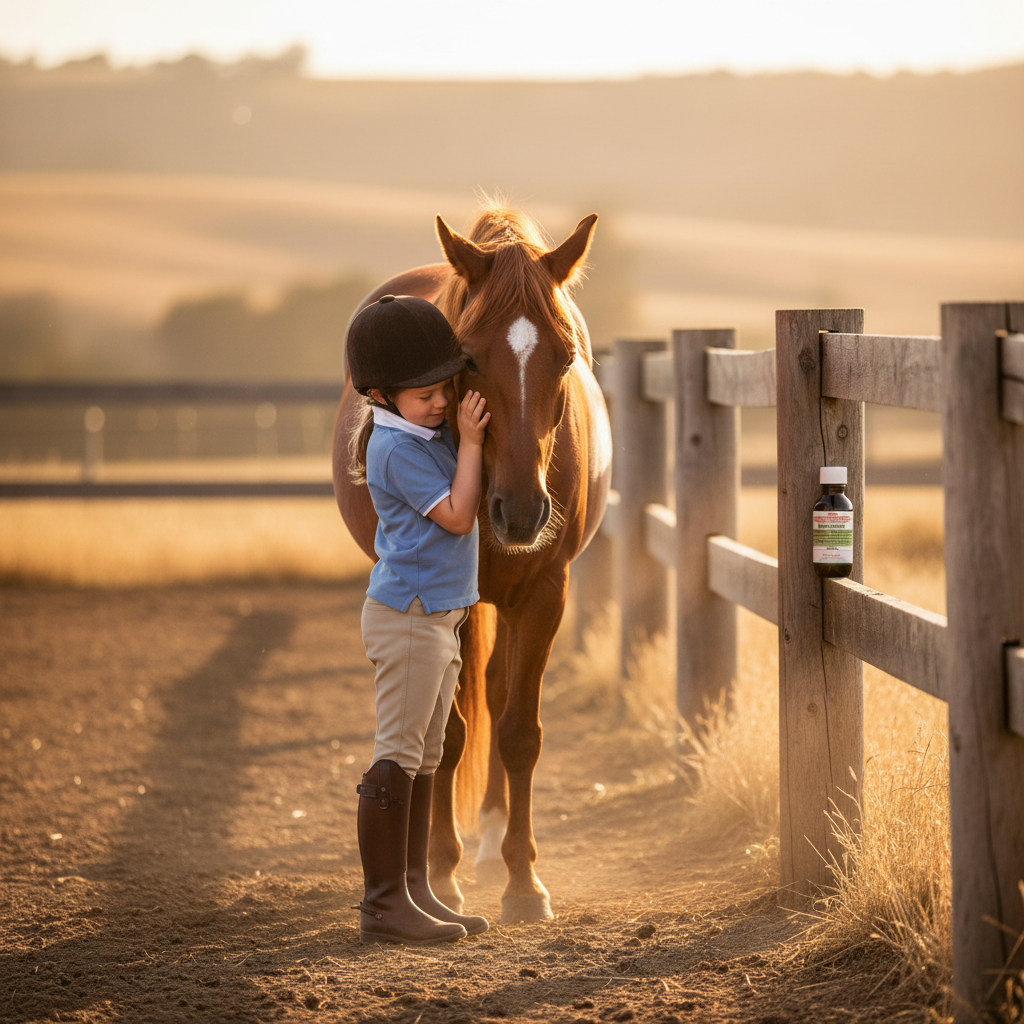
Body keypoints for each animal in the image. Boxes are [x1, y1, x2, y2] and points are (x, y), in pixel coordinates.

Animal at [332, 206, 611, 924]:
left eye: (565, 357)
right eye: (472, 358)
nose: (521, 512)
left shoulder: (544, 593)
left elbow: (517, 732)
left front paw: (523, 882)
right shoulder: (446, 607)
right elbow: (451, 738)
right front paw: (440, 869)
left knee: (497, 691)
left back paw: (490, 840)